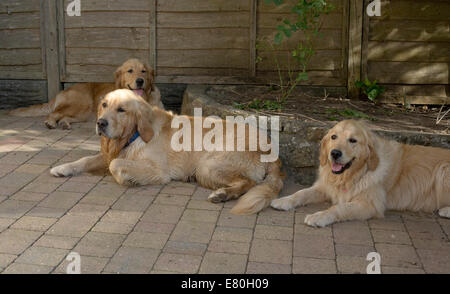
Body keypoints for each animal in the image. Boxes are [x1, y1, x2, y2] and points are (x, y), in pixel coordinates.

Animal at [9, 58, 163, 129]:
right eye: (130, 71)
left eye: (144, 71)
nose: (140, 81)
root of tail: (63, 90)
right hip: (79, 104)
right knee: (54, 114)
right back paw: (51, 123)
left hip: (83, 113)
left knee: (64, 117)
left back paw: (64, 124)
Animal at [48, 88, 282, 215]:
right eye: (104, 105)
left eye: (121, 110)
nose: (100, 123)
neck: (134, 135)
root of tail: (272, 148)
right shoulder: (111, 153)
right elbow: (85, 159)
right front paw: (63, 168)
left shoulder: (157, 170)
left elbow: (116, 165)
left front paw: (129, 179)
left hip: (208, 165)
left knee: (248, 182)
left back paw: (222, 194)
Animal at [268, 119, 448, 227]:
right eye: (334, 137)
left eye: (353, 140)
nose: (335, 153)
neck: (350, 176)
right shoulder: (325, 187)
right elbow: (301, 193)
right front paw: (284, 200)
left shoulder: (370, 205)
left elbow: (338, 208)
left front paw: (319, 216)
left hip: (443, 170)